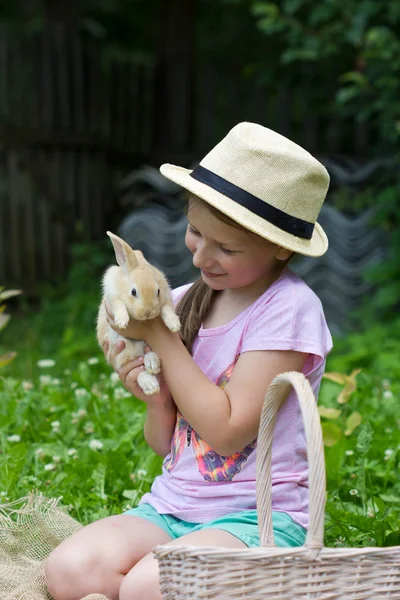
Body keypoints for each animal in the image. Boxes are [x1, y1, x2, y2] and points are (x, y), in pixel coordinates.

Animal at [96, 232, 180, 396]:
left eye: (157, 291)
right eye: (133, 292)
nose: (147, 312)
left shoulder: (166, 297)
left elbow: (167, 310)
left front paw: (174, 325)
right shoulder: (112, 295)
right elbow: (119, 305)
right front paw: (122, 321)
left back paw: (152, 364)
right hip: (124, 349)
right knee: (137, 370)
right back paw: (151, 384)